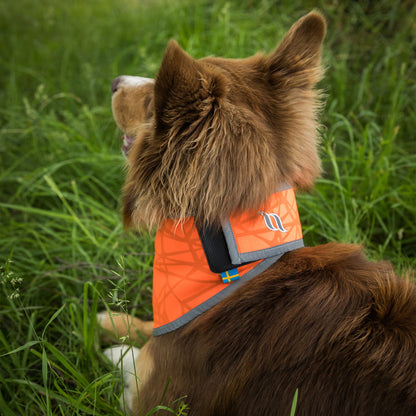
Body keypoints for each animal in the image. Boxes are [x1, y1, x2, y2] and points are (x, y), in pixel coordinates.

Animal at [98, 11, 416, 414]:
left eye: (154, 98)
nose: (115, 81)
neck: (237, 262)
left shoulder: (155, 400)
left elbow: (138, 360)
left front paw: (116, 348)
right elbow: (152, 327)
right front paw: (111, 320)